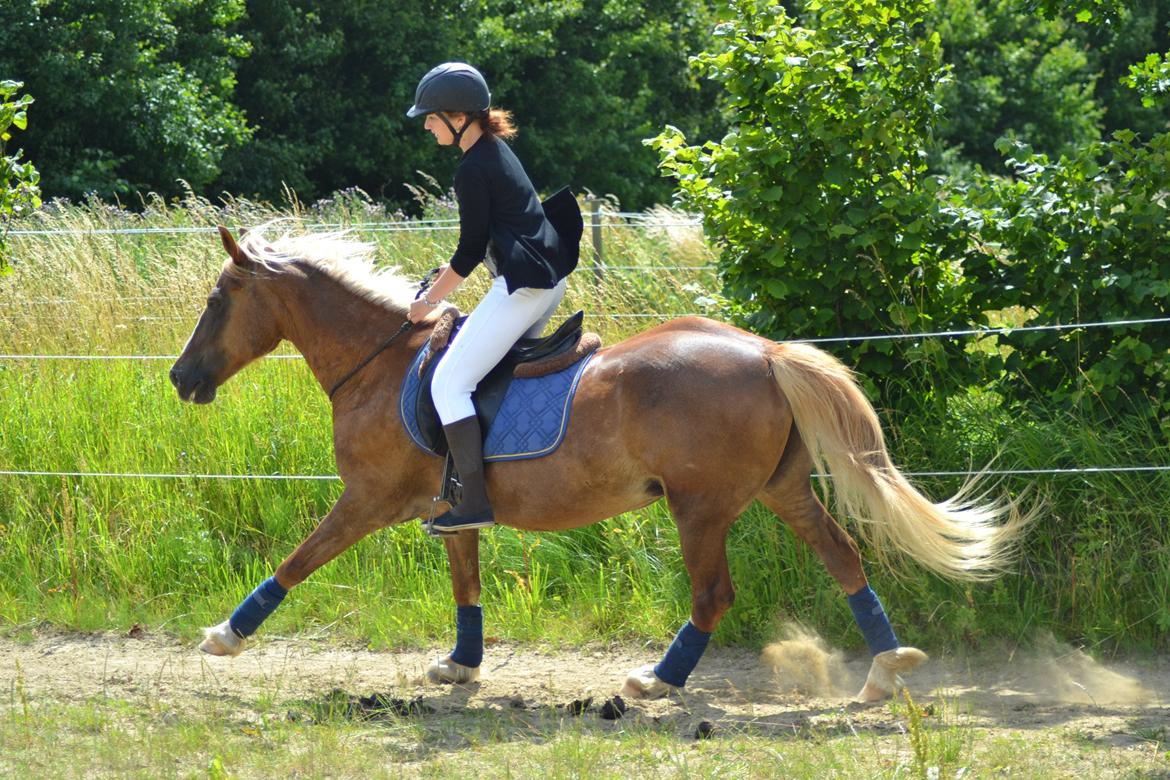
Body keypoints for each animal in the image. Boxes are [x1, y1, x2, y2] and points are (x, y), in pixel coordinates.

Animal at [167, 224, 1024, 701]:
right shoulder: (452, 510)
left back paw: (657, 681)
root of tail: (765, 351)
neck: (379, 365)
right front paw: (462, 667)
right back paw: (883, 672)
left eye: (216, 301)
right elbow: (466, 585)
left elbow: (298, 560)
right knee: (844, 559)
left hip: (699, 505)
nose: (180, 379)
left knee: (713, 594)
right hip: (783, 491)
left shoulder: (369, 499)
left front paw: (225, 635)